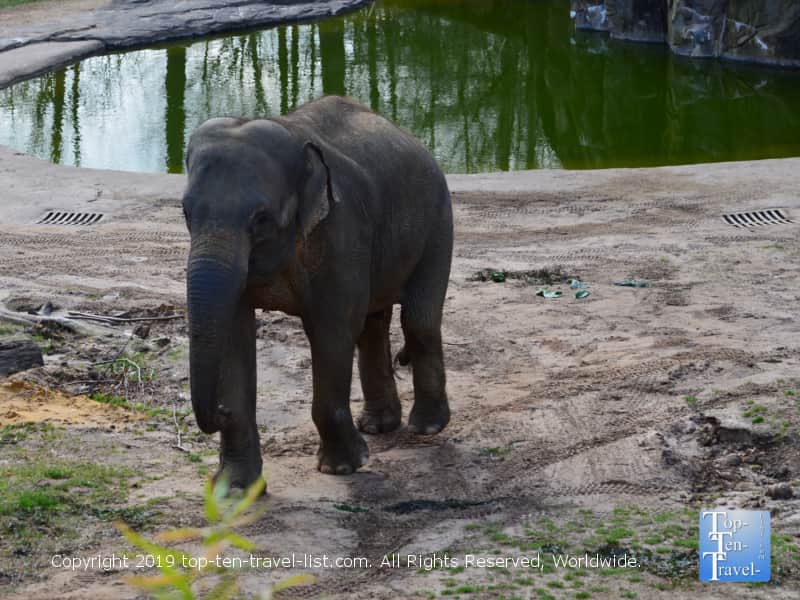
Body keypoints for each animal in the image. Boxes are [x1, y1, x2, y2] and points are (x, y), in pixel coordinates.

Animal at [182, 96, 453, 490]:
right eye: (186, 212)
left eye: (261, 218)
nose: (218, 412)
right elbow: (234, 336)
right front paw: (234, 489)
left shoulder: (341, 230)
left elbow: (333, 330)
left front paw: (342, 468)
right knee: (372, 325)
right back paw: (378, 426)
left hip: (437, 220)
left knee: (417, 321)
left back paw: (426, 427)